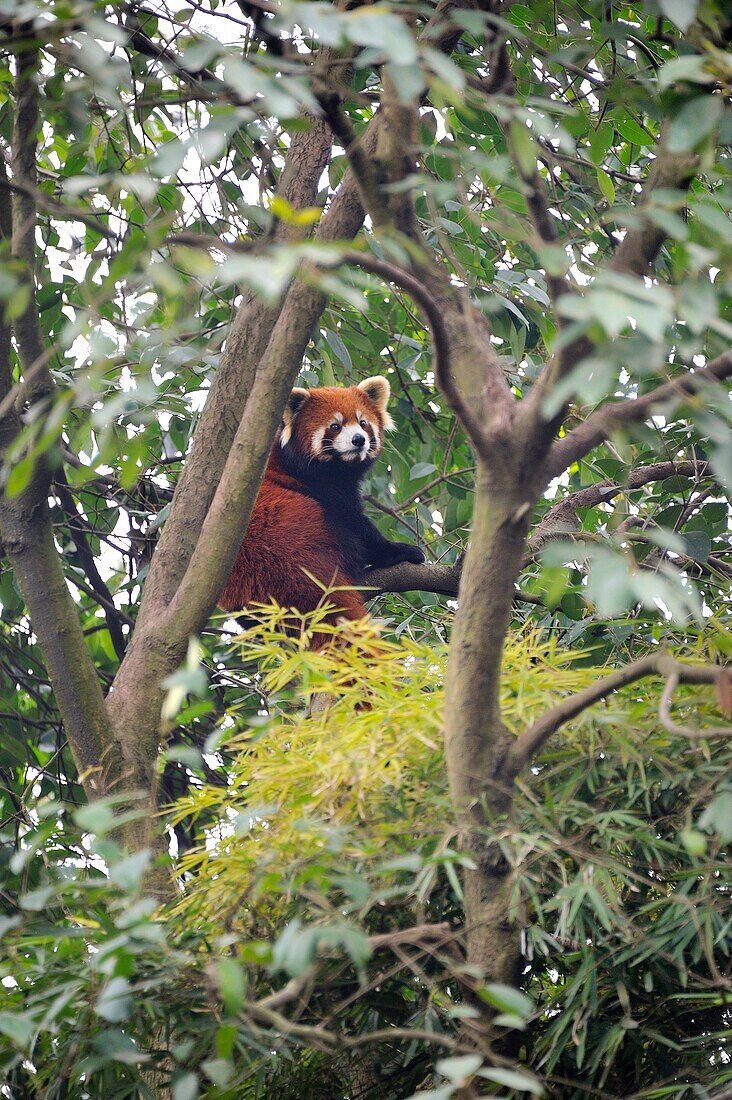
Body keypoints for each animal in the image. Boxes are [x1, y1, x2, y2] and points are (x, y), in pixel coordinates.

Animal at [217, 374, 422, 642]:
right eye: (335, 426)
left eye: (363, 423)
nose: (359, 440)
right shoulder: (322, 486)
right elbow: (357, 524)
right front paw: (397, 550)